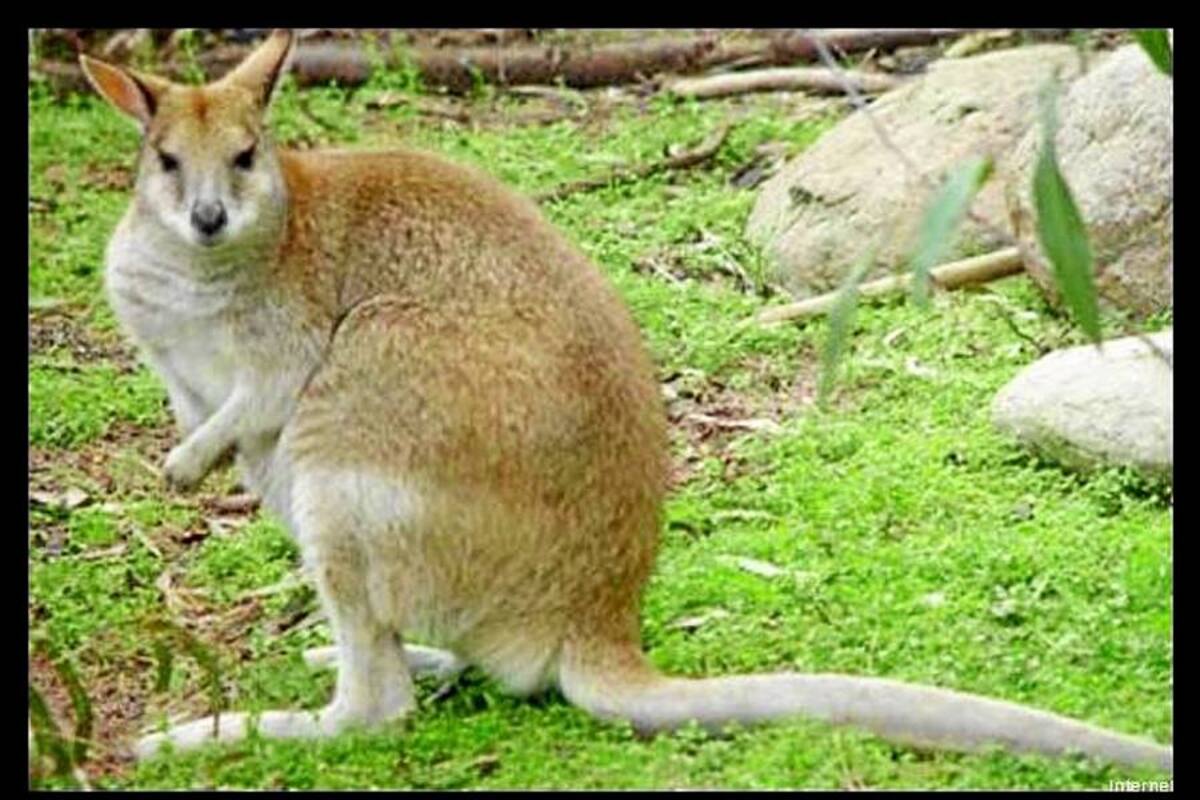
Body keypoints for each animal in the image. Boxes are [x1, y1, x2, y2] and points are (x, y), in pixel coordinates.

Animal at [79, 29, 1171, 772]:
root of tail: (591, 619)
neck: (209, 259)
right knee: (416, 653)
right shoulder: (172, 356)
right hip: (315, 482)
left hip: (360, 409)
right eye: (165, 163)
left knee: (378, 706)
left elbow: (252, 391)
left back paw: (206, 735)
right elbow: (200, 406)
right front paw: (183, 457)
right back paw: (384, 659)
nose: (208, 216)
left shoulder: (294, 340)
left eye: (246, 157)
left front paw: (184, 462)